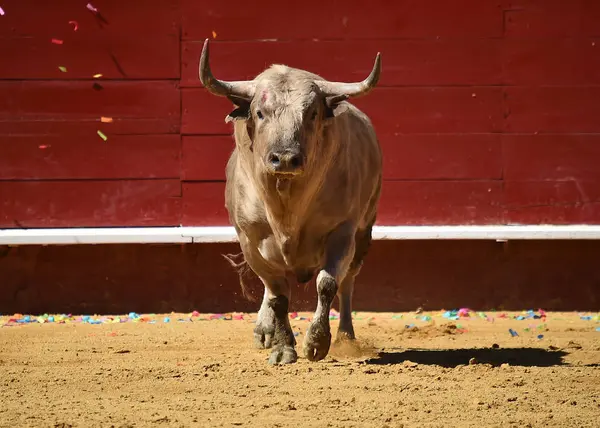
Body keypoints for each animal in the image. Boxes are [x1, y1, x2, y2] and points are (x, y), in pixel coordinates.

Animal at [199, 39, 382, 364]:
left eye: (312, 114)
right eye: (260, 113)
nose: (285, 157)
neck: (286, 206)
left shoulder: (343, 232)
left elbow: (328, 284)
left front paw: (317, 342)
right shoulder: (251, 240)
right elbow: (278, 296)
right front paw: (283, 346)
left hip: (364, 232)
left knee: (348, 282)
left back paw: (346, 336)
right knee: (272, 289)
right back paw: (265, 330)